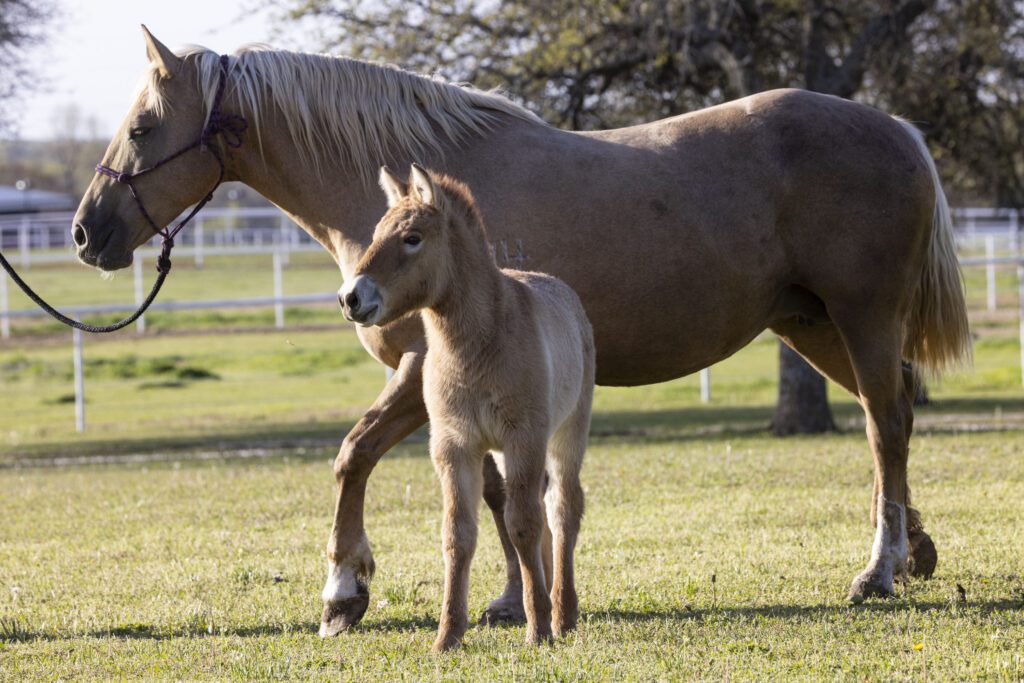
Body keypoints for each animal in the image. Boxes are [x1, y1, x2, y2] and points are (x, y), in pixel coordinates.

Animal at [337, 165, 593, 651]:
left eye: (412, 238)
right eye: (377, 234)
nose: (350, 298)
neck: (479, 344)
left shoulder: (524, 437)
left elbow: (523, 524)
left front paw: (537, 629)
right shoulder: (454, 445)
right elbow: (458, 534)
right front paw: (448, 635)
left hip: (567, 432)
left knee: (562, 509)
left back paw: (563, 615)